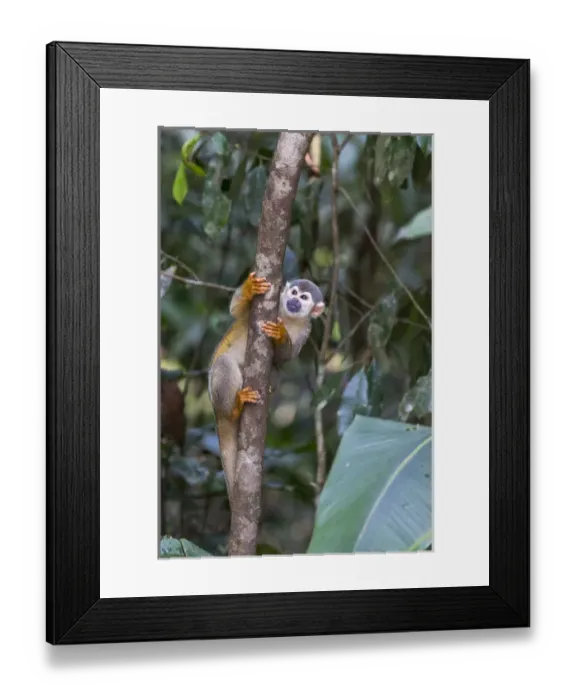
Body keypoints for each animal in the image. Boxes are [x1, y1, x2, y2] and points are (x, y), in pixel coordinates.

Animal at [208, 271, 325, 503]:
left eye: (304, 298)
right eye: (293, 292)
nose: (294, 302)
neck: (288, 317)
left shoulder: (306, 328)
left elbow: (285, 357)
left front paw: (281, 334)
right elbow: (236, 310)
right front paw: (250, 288)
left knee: (275, 367)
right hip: (214, 389)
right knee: (224, 362)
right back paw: (234, 409)